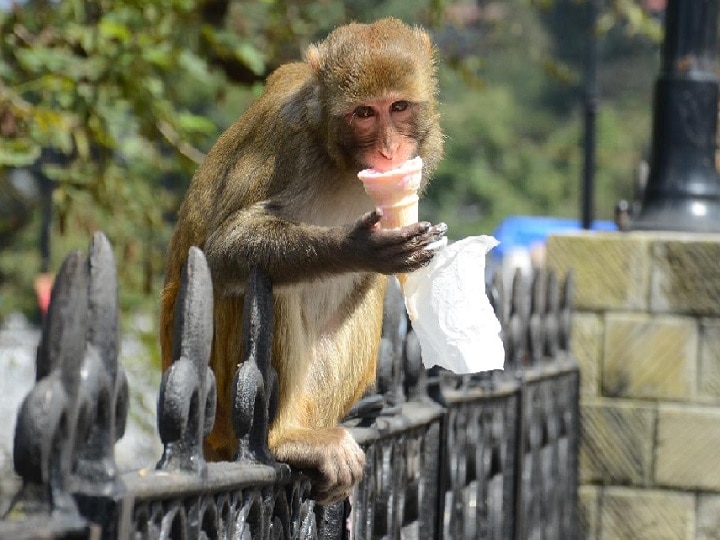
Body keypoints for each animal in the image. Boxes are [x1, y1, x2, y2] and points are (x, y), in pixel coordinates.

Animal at [159, 17, 444, 506]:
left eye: (399, 107)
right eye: (364, 113)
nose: (389, 150)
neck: (339, 158)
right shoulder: (287, 143)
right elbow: (223, 250)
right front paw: (356, 247)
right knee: (266, 278)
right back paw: (284, 438)